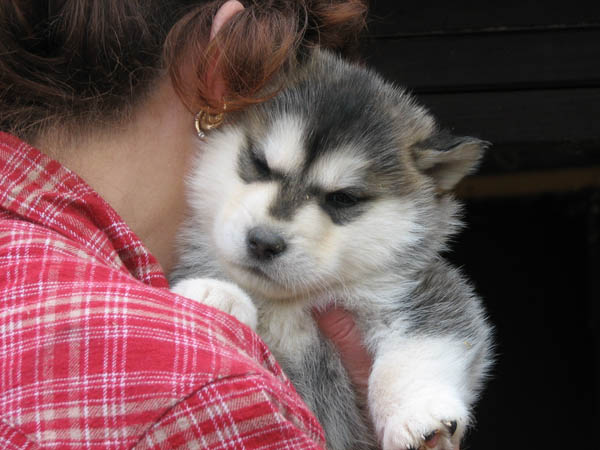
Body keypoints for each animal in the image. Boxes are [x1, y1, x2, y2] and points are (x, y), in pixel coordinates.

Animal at [171, 48, 494, 450]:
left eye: (343, 198)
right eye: (260, 164)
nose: (263, 242)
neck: (292, 304)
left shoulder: (423, 291)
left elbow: (417, 349)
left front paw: (417, 413)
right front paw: (216, 293)